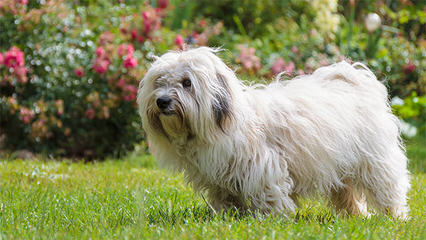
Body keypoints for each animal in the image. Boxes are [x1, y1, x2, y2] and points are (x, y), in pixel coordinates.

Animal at [136, 47, 410, 218]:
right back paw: (355, 216)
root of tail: (356, 81)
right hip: (341, 166)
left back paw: (394, 217)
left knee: (388, 188)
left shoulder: (262, 165)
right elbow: (226, 197)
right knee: (347, 193)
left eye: (187, 83)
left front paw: (272, 218)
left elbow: (268, 192)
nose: (162, 101)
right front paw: (228, 216)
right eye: (159, 82)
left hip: (374, 161)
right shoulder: (219, 176)